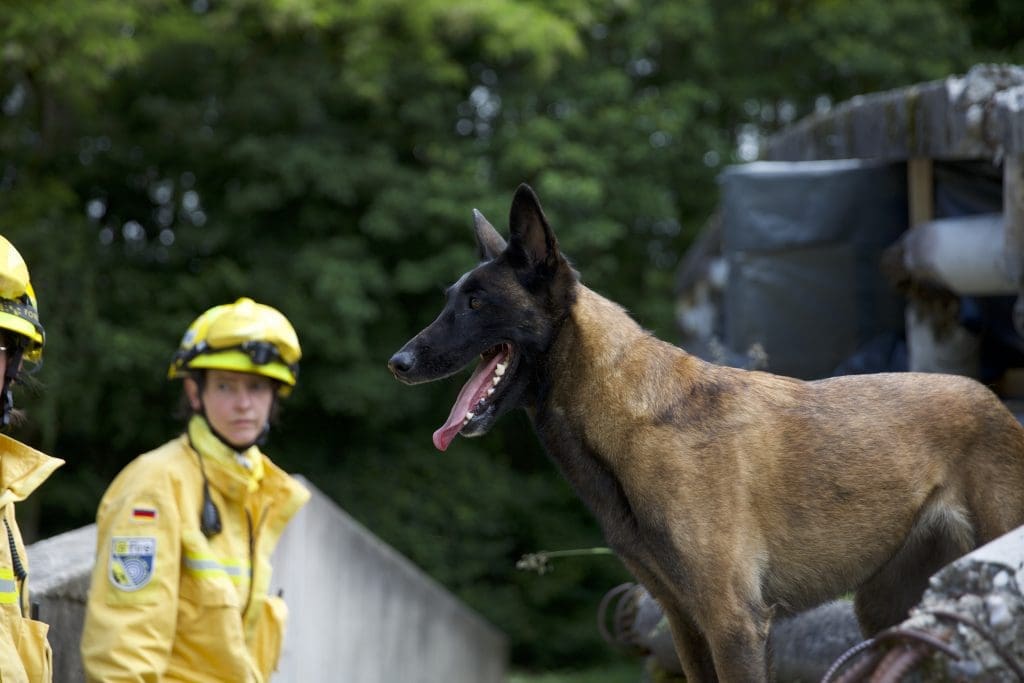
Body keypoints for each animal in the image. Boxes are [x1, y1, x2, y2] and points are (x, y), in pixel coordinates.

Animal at [387, 184, 1024, 679]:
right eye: (452, 298)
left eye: (476, 302)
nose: (398, 362)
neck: (627, 417)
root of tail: (996, 401)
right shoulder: (685, 623)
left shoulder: (734, 624)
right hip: (885, 611)